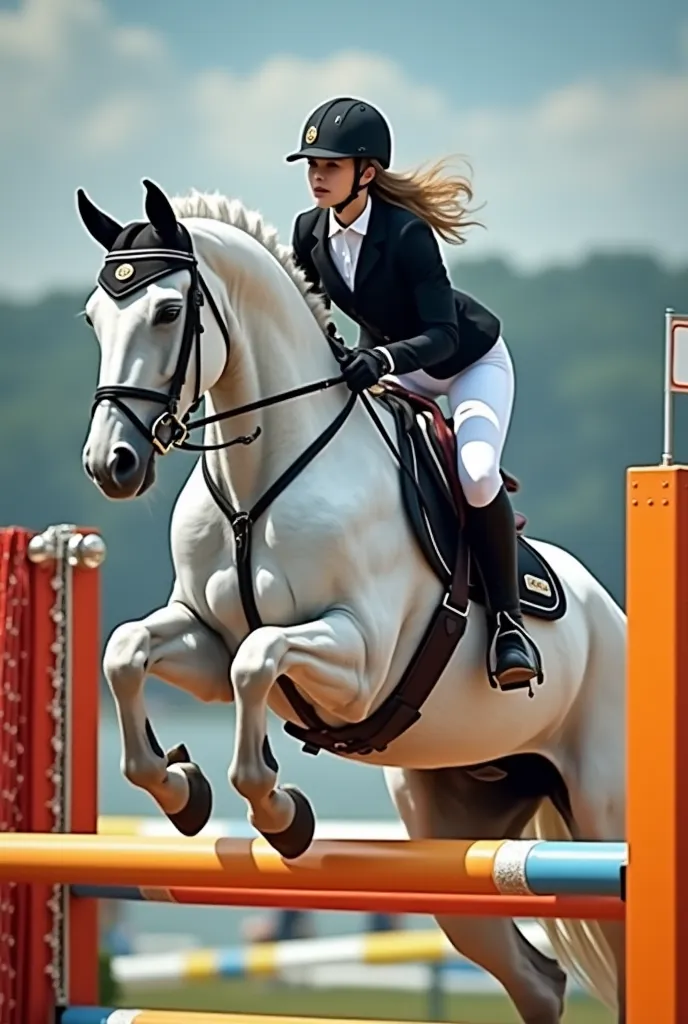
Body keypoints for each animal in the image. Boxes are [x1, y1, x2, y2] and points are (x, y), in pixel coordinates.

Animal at [76, 180, 630, 1019]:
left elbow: (257, 658)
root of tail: (619, 620)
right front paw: (180, 790)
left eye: (169, 312)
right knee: (536, 979)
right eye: (91, 318)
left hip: (604, 806)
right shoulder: (200, 636)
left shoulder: (360, 659)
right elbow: (129, 650)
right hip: (457, 832)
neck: (261, 479)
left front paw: (280, 813)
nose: (112, 464)